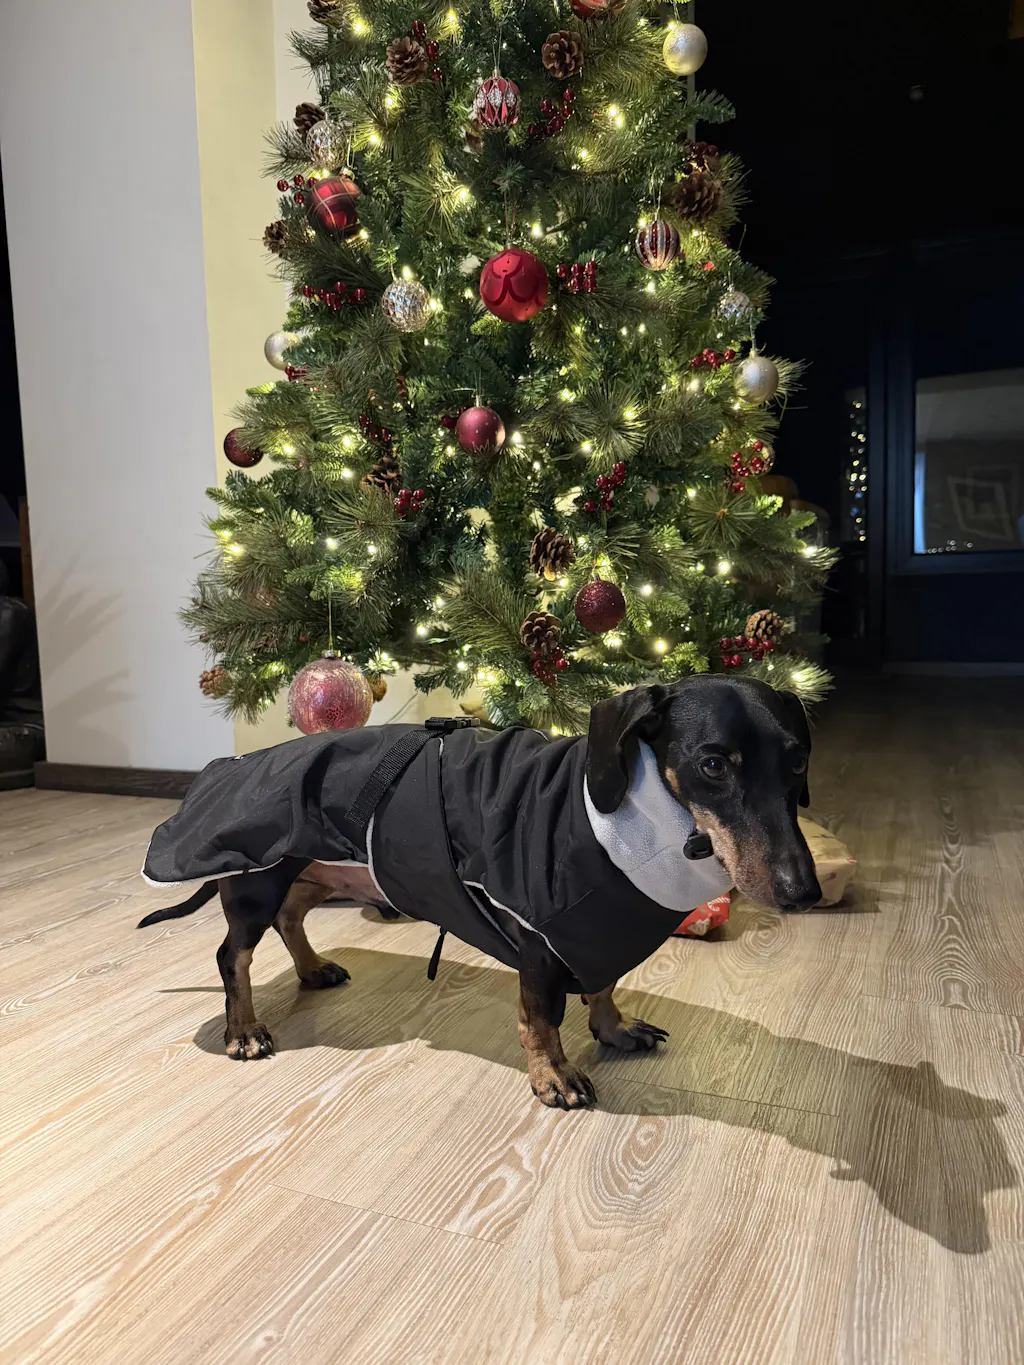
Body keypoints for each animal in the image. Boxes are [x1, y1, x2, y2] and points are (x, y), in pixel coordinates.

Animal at [139, 676, 819, 1109]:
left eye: (796, 762)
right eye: (714, 765)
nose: (804, 891)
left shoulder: (595, 930)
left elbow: (603, 984)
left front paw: (615, 1028)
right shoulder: (542, 942)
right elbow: (540, 1020)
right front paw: (554, 1077)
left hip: (321, 870)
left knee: (290, 919)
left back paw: (311, 969)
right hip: (259, 877)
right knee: (234, 955)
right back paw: (243, 1030)